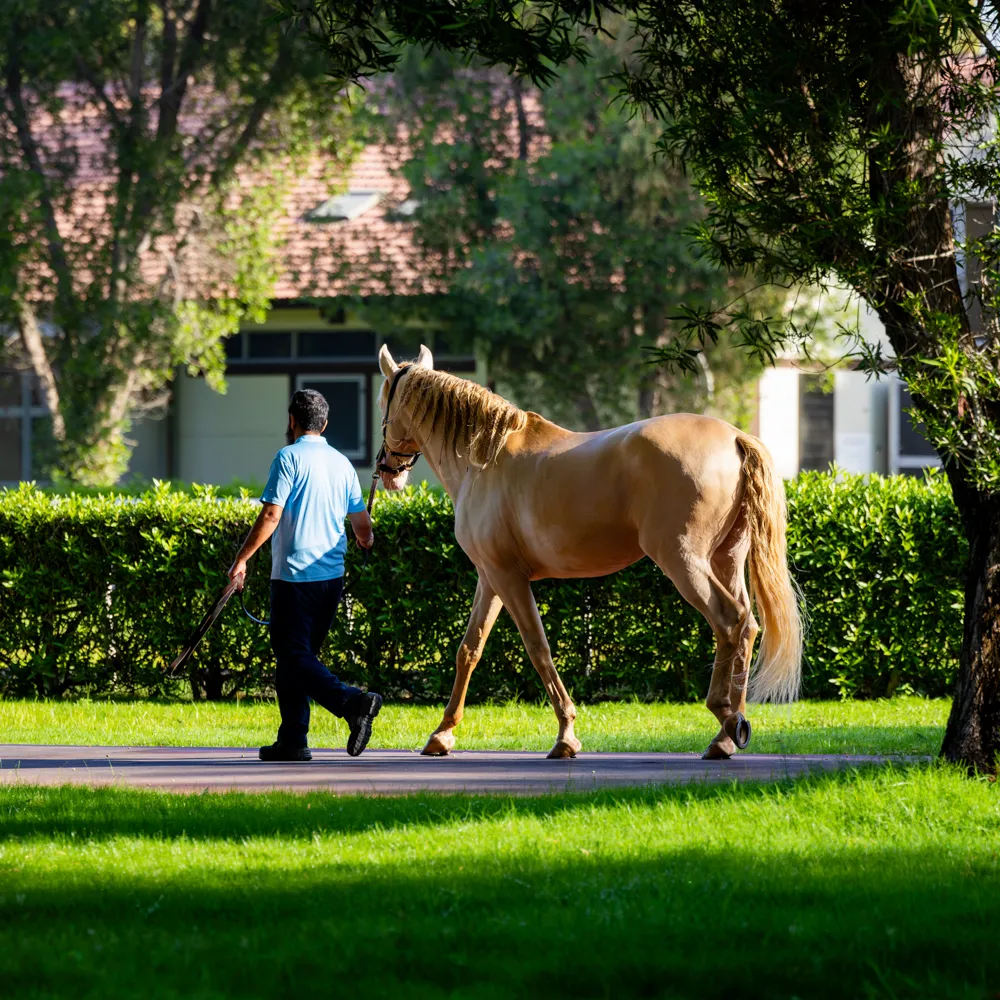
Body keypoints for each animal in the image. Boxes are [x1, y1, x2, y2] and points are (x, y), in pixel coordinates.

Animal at [376, 344, 802, 760]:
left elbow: (538, 647)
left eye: (383, 403)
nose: (386, 469)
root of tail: (734, 438)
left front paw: (566, 735)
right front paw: (442, 734)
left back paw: (726, 718)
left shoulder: (508, 578)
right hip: (725, 559)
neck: (484, 460)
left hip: (683, 561)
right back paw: (726, 734)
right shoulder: (490, 577)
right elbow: (470, 649)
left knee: (729, 622)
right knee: (747, 626)